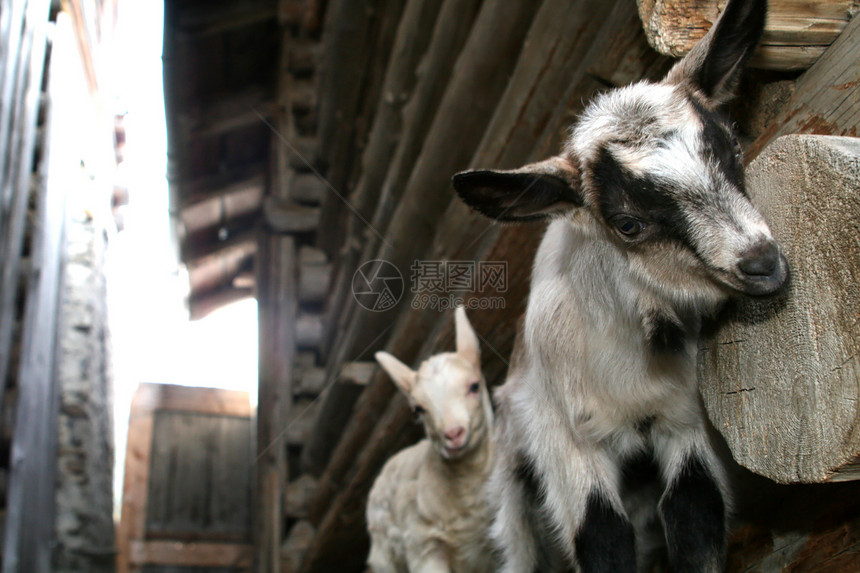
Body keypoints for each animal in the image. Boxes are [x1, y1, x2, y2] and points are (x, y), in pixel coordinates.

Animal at [454, 2, 788, 568]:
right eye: (627, 224)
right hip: (514, 483)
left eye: (733, 147)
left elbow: (695, 517)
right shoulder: (563, 441)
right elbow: (602, 537)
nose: (763, 264)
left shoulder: (685, 421)